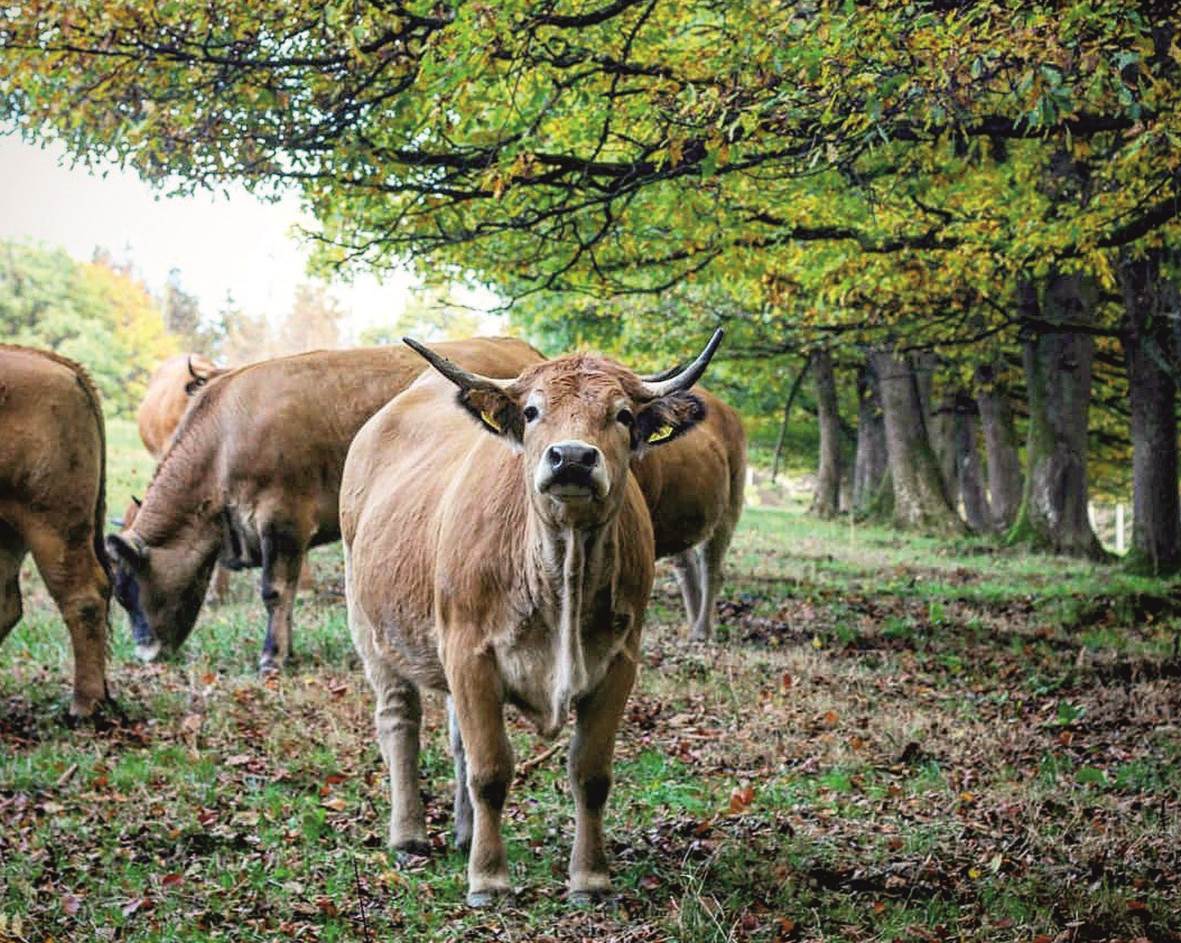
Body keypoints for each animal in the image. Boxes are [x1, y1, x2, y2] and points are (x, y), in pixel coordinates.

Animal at [342, 328, 722, 902]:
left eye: (623, 415)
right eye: (533, 410)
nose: (573, 458)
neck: (561, 572)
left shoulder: (619, 662)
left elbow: (590, 773)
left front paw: (589, 878)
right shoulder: (471, 654)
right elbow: (491, 770)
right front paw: (488, 879)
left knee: (456, 739)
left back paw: (463, 833)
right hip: (372, 630)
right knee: (399, 721)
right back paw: (409, 835)